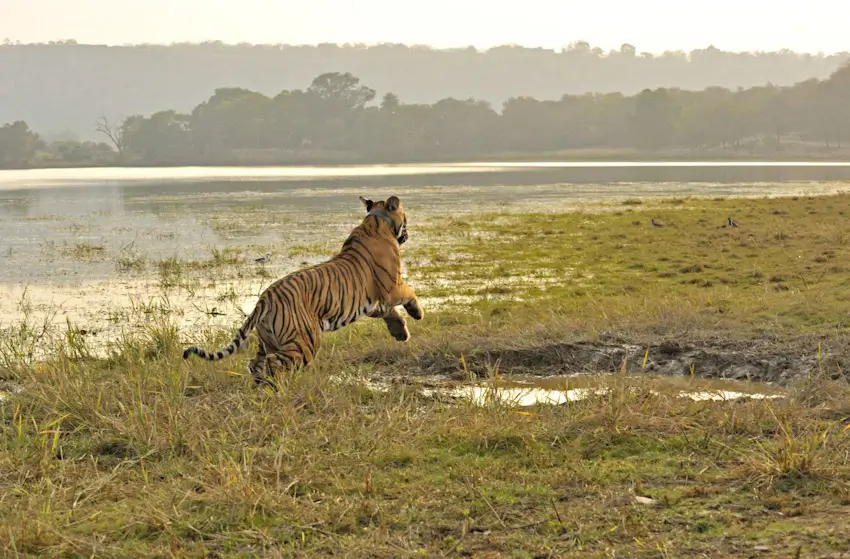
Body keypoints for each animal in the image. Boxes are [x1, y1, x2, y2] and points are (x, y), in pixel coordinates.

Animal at [182, 195, 424, 385]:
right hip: (304, 341)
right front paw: (417, 313)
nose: (408, 234)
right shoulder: (392, 286)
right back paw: (277, 388)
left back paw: (261, 388)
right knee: (273, 363)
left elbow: (389, 312)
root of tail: (265, 298)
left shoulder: (372, 302)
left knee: (254, 363)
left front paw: (401, 332)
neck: (376, 221)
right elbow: (409, 294)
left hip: (268, 341)